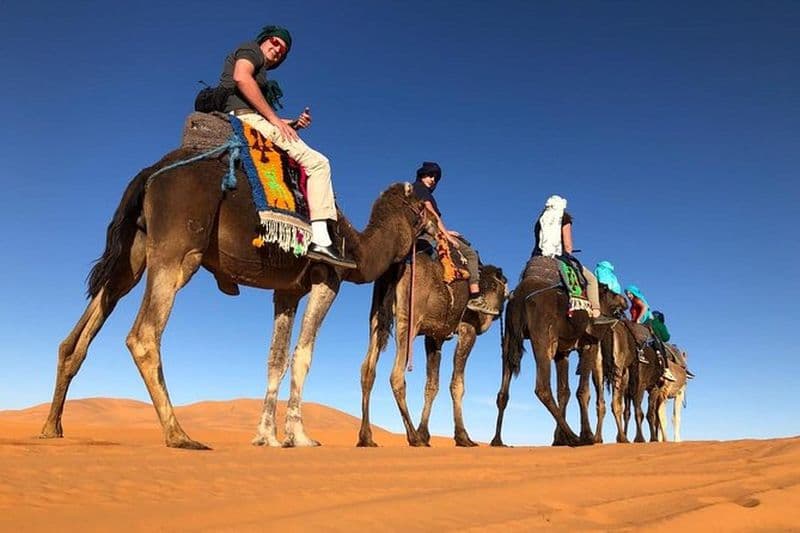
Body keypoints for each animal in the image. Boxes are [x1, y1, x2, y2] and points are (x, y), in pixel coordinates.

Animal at [39, 126, 432, 449]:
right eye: (425, 205)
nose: (436, 230)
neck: (358, 248)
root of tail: (150, 173)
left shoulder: (287, 291)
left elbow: (275, 359)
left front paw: (266, 437)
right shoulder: (327, 278)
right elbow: (303, 355)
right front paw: (299, 436)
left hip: (133, 253)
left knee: (87, 324)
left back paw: (51, 428)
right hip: (180, 248)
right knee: (144, 334)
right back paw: (179, 435)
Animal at [356, 248, 508, 447]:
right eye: (502, 289)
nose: (499, 311)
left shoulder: (434, 337)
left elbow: (431, 385)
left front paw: (424, 433)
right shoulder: (468, 329)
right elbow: (457, 384)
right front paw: (462, 437)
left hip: (377, 316)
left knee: (367, 369)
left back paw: (366, 437)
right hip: (409, 318)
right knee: (396, 375)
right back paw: (413, 437)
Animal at [490, 257, 621, 447]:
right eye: (614, 293)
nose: (625, 301)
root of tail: (519, 296)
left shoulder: (562, 353)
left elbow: (564, 392)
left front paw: (558, 439)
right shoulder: (589, 345)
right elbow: (583, 392)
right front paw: (586, 435)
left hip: (510, 337)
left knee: (503, 391)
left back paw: (497, 440)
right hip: (542, 336)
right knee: (542, 387)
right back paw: (575, 437)